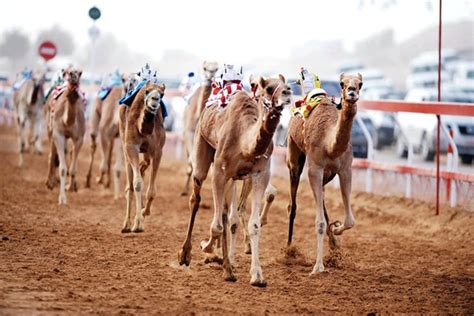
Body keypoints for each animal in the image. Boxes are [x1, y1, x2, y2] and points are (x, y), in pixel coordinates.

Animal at [45, 68, 86, 204]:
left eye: (80, 73)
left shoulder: (79, 138)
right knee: (52, 155)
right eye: (66, 73)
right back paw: (50, 183)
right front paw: (62, 199)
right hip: (50, 130)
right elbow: (63, 169)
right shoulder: (58, 134)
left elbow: (72, 168)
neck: (67, 121)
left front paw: (71, 187)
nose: (73, 76)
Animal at [118, 76, 167, 233]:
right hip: (124, 145)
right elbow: (137, 184)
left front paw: (144, 212)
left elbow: (151, 190)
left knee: (143, 166)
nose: (155, 100)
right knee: (129, 186)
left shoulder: (157, 151)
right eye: (147, 91)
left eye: (162, 94)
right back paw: (126, 224)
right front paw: (137, 223)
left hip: (146, 153)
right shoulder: (131, 147)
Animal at [179, 75, 292, 288]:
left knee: (227, 214)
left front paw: (257, 275)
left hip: (233, 178)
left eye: (288, 85)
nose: (287, 93)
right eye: (269, 87)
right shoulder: (220, 171)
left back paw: (228, 266)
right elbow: (216, 225)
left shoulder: (260, 175)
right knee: (196, 199)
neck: (245, 143)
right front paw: (206, 248)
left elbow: (253, 224)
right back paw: (186, 254)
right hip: (202, 149)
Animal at [286, 71, 362, 274]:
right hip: (294, 157)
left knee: (322, 199)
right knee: (293, 205)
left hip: (328, 175)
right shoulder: (315, 169)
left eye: (360, 83)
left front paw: (336, 231)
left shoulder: (345, 169)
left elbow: (350, 220)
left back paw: (333, 241)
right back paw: (288, 249)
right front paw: (318, 267)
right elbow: (318, 222)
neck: (330, 144)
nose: (352, 92)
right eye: (342, 83)